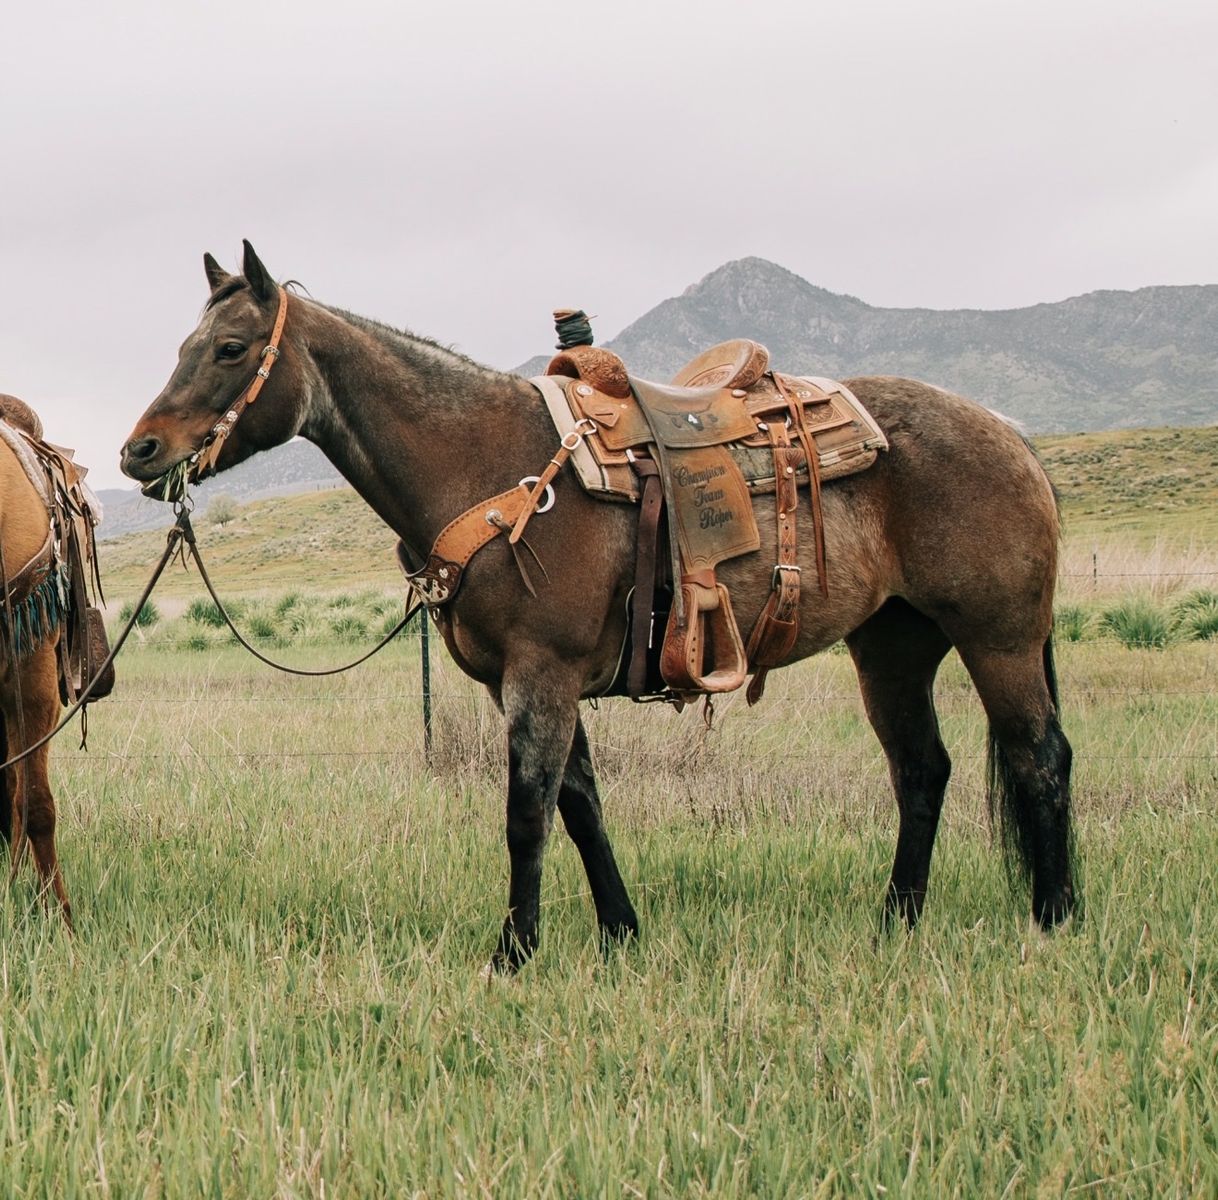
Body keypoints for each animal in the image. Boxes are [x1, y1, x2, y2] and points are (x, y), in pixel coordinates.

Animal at [121, 242, 1077, 971]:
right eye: (185, 344)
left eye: (231, 349)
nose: (141, 452)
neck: (489, 466)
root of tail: (1008, 432)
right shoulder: (537, 682)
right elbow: (580, 807)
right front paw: (620, 932)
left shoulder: (541, 676)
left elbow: (527, 812)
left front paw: (514, 952)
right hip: (892, 648)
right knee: (922, 771)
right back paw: (896, 920)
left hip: (998, 639)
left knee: (1040, 758)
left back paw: (1056, 916)